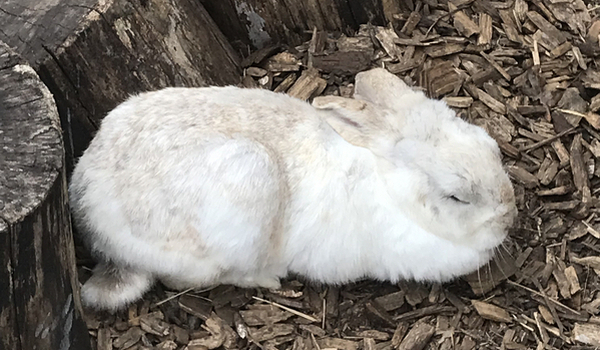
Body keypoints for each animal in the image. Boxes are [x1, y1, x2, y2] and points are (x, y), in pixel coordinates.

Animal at [69, 67, 516, 310]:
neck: (390, 186)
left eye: (492, 148)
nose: (508, 216)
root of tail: (91, 218)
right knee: (194, 280)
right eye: (456, 197)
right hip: (245, 185)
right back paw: (269, 280)